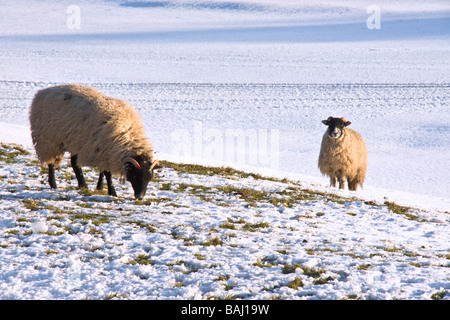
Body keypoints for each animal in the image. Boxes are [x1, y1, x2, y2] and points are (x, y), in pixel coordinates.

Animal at [29, 84, 159, 199]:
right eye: (135, 177)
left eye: (149, 178)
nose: (140, 197)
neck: (126, 135)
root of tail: (41, 92)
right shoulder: (102, 150)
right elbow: (107, 174)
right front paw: (112, 192)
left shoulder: (102, 150)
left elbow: (102, 171)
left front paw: (100, 187)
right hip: (48, 140)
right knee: (51, 163)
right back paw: (53, 184)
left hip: (75, 141)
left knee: (74, 163)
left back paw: (82, 185)